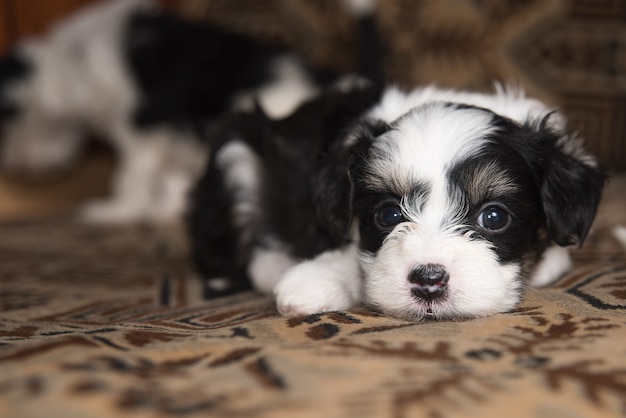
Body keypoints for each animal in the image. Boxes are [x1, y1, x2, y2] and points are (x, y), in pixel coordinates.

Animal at [0, 0, 346, 222]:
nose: (12, 165)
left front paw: (117, 210)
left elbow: (128, 174)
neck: (72, 65)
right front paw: (165, 209)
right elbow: (168, 176)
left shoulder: (145, 126)